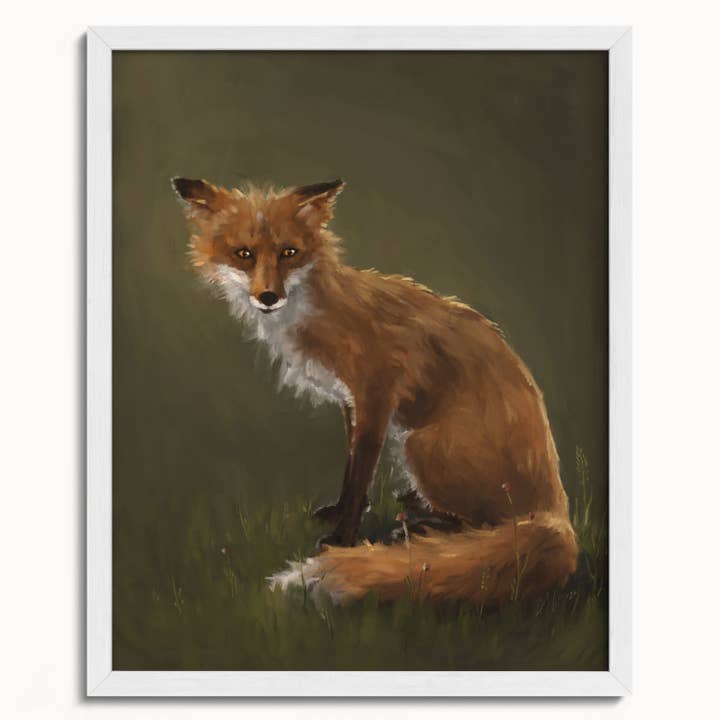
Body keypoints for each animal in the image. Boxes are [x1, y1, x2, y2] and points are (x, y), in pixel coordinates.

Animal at [171, 175, 578, 607]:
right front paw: (339, 513)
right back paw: (417, 508)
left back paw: (422, 528)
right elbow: (351, 469)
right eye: (244, 254)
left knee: (490, 525)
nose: (268, 297)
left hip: (418, 445)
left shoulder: (377, 393)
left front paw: (341, 539)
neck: (318, 311)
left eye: (289, 253)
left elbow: (360, 474)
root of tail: (556, 509)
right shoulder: (350, 401)